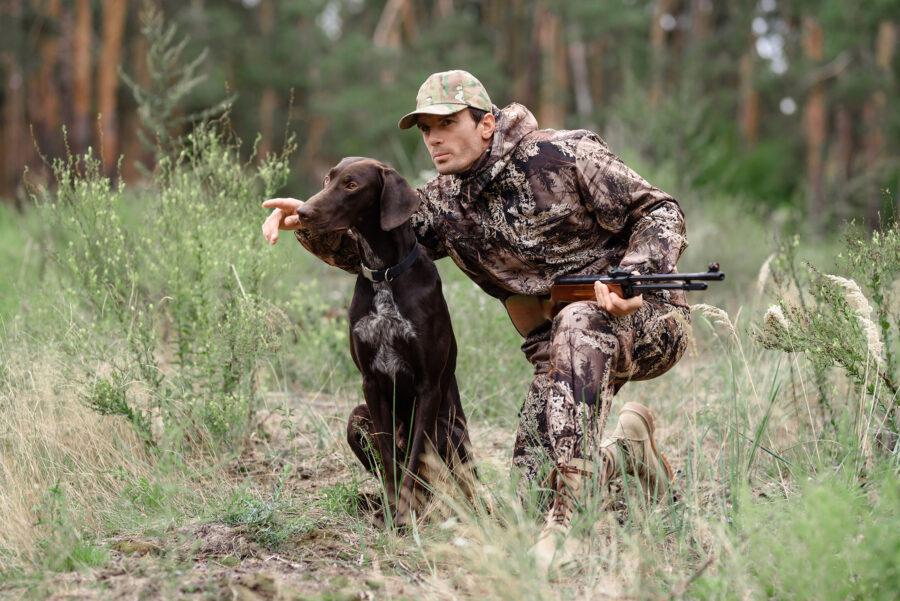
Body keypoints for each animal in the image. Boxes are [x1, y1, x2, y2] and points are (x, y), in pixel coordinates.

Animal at [296, 156, 478, 524]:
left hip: (448, 431)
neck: (384, 273)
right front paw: (394, 511)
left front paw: (403, 515)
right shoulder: (370, 382)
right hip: (357, 416)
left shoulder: (428, 386)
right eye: (328, 179)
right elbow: (388, 455)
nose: (302, 212)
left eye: (352, 185)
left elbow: (412, 459)